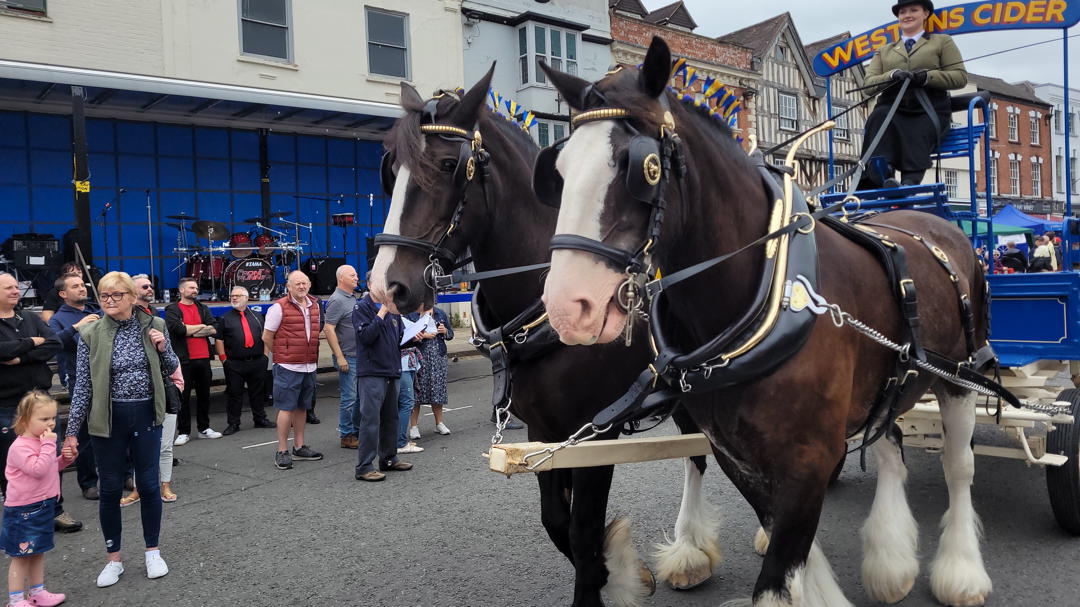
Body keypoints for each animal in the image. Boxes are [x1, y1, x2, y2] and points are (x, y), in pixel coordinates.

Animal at [367, 67, 724, 607]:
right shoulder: (546, 430)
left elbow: (581, 528)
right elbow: (557, 522)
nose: (386, 286)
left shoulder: (598, 430)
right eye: (392, 171)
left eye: (449, 165)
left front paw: (604, 577)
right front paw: (616, 572)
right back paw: (692, 554)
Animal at [538, 37, 995, 607]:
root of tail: (934, 218)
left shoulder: (808, 458)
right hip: (891, 377)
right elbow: (782, 537)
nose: (566, 305)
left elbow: (778, 573)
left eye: (640, 167)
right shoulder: (737, 454)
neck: (763, 298)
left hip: (960, 376)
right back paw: (891, 563)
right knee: (890, 445)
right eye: (557, 171)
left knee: (960, 467)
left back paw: (961, 570)